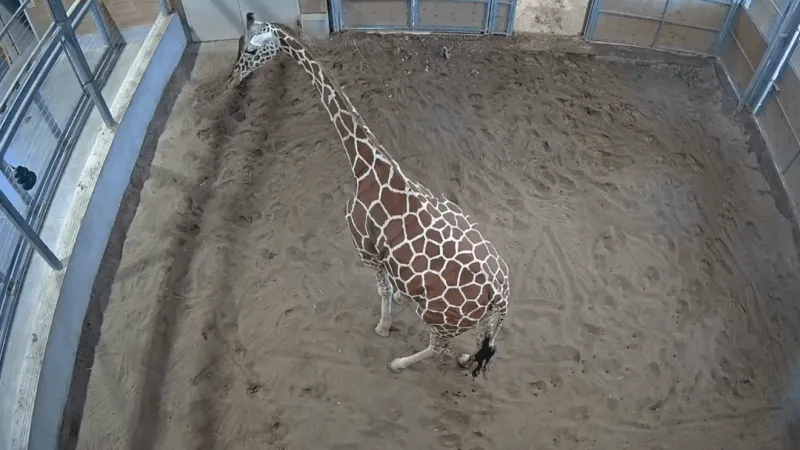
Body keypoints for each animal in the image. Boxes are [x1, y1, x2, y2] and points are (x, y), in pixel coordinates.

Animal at [229, 13, 510, 376]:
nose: (233, 78)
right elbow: (394, 287)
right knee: (485, 342)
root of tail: (501, 294)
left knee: (440, 348)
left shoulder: (367, 250)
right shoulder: (384, 255)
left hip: (439, 317)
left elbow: (383, 288)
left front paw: (383, 326)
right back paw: (466, 358)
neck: (365, 166)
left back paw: (399, 362)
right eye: (240, 42)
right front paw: (399, 303)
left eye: (251, 49)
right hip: (482, 318)